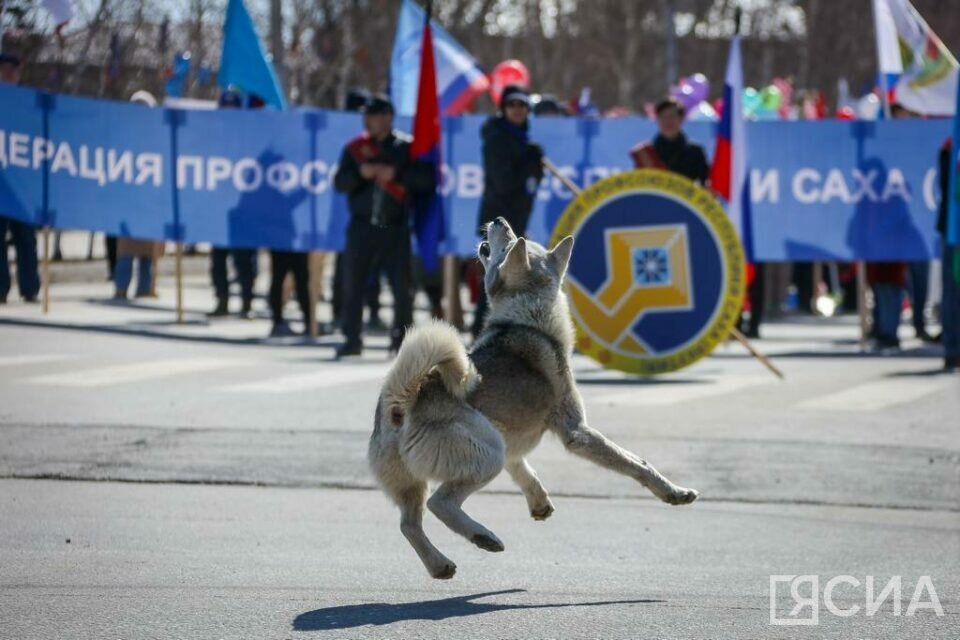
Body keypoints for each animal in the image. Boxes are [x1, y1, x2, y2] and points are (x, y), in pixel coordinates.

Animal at [368, 216, 696, 580]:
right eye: (510, 243)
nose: (499, 220)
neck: (527, 315)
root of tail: (399, 402)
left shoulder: (512, 446)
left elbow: (526, 473)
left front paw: (540, 504)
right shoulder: (576, 432)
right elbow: (636, 463)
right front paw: (674, 492)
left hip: (423, 477)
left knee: (409, 524)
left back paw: (440, 564)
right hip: (487, 453)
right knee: (440, 503)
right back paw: (483, 536)